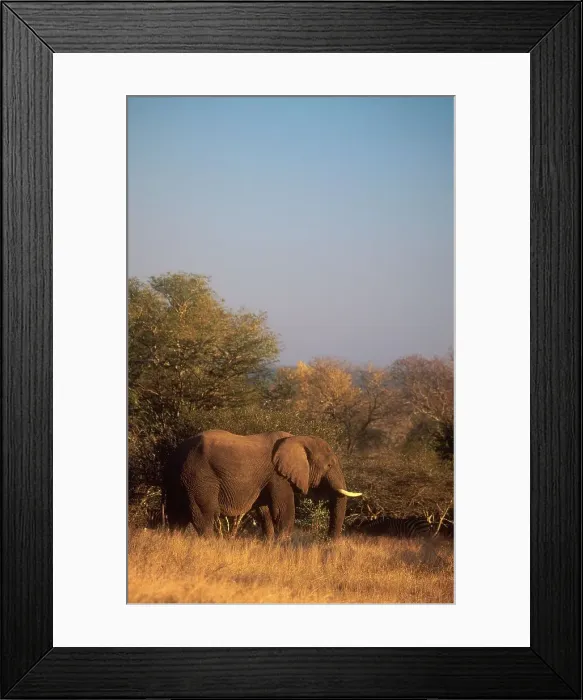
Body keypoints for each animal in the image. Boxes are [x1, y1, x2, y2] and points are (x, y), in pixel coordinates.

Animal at [162, 430, 362, 539]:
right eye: (329, 465)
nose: (329, 543)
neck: (297, 438)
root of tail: (176, 453)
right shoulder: (278, 476)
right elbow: (282, 510)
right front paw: (282, 546)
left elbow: (265, 512)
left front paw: (270, 544)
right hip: (199, 477)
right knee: (204, 516)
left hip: (178, 478)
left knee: (176, 517)